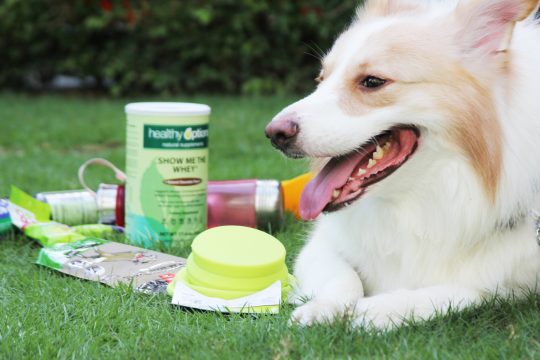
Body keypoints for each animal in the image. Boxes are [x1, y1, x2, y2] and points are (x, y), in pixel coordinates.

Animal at [264, 0, 540, 330]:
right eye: (321, 80)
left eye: (372, 82)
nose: (275, 134)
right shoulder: (320, 244)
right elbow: (343, 277)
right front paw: (322, 308)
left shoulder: (514, 280)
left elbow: (469, 291)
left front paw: (379, 309)